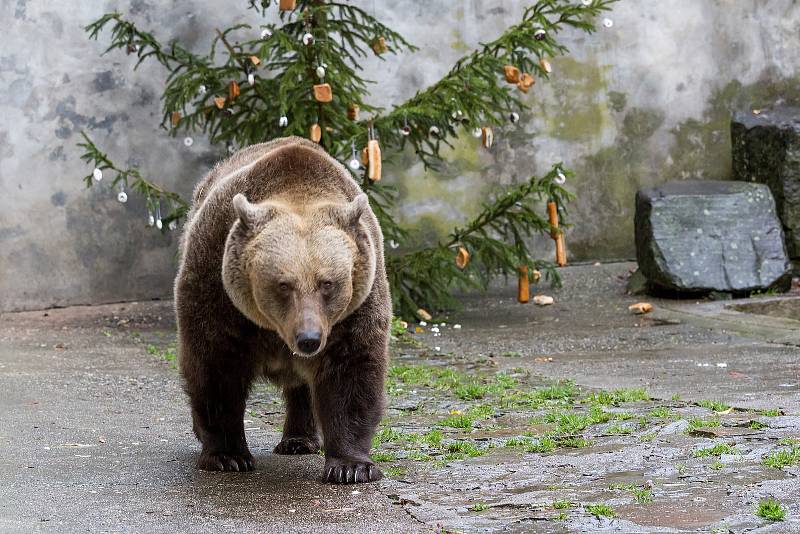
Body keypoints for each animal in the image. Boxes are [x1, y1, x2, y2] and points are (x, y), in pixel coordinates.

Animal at [174, 137, 390, 486]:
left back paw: (298, 440)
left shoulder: (356, 307)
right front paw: (227, 456)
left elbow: (351, 372)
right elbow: (215, 364)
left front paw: (351, 466)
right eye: (283, 284)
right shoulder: (217, 285)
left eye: (327, 283)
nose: (309, 339)